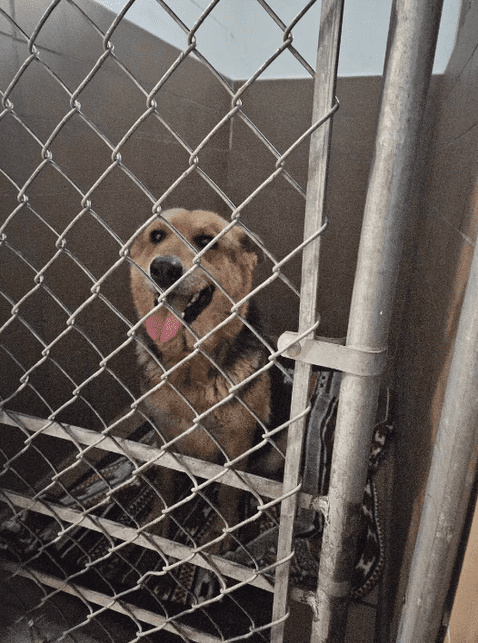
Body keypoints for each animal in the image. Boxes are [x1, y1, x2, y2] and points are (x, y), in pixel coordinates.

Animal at [129, 209, 272, 552]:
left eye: (206, 241)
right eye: (156, 236)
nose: (163, 268)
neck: (188, 367)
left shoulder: (236, 444)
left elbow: (229, 493)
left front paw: (222, 532)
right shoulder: (164, 430)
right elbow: (166, 480)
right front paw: (160, 516)